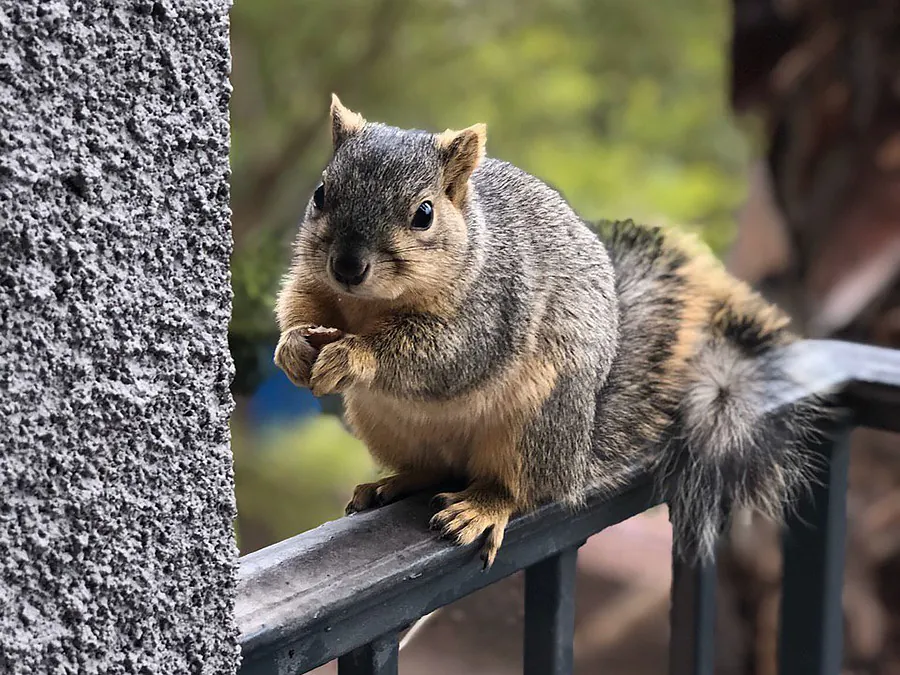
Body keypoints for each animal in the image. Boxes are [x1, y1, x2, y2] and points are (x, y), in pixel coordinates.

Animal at [272, 95, 824, 568]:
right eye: (321, 193)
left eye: (423, 214)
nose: (347, 266)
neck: (369, 305)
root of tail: (577, 457)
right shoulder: (314, 281)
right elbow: (300, 301)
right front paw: (293, 347)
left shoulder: (492, 311)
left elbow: (443, 355)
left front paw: (353, 355)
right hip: (385, 424)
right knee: (436, 469)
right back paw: (394, 483)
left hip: (536, 422)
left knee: (523, 490)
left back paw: (481, 506)